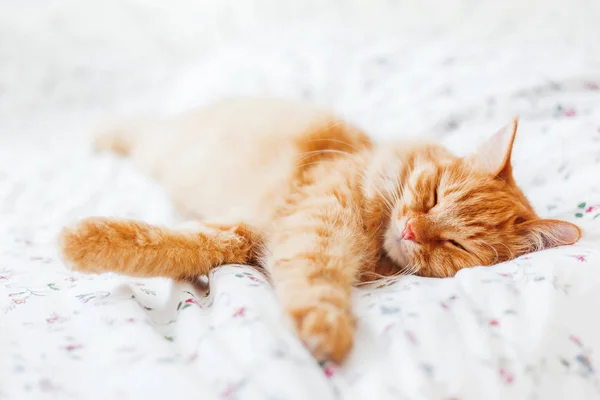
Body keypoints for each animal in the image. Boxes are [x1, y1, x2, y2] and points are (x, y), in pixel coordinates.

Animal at [59, 97, 580, 362]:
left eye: (456, 243)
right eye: (433, 195)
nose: (412, 229)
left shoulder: (258, 236)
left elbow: (177, 245)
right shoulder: (313, 222)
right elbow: (158, 241)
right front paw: (79, 240)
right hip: (164, 142)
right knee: (135, 125)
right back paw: (102, 133)